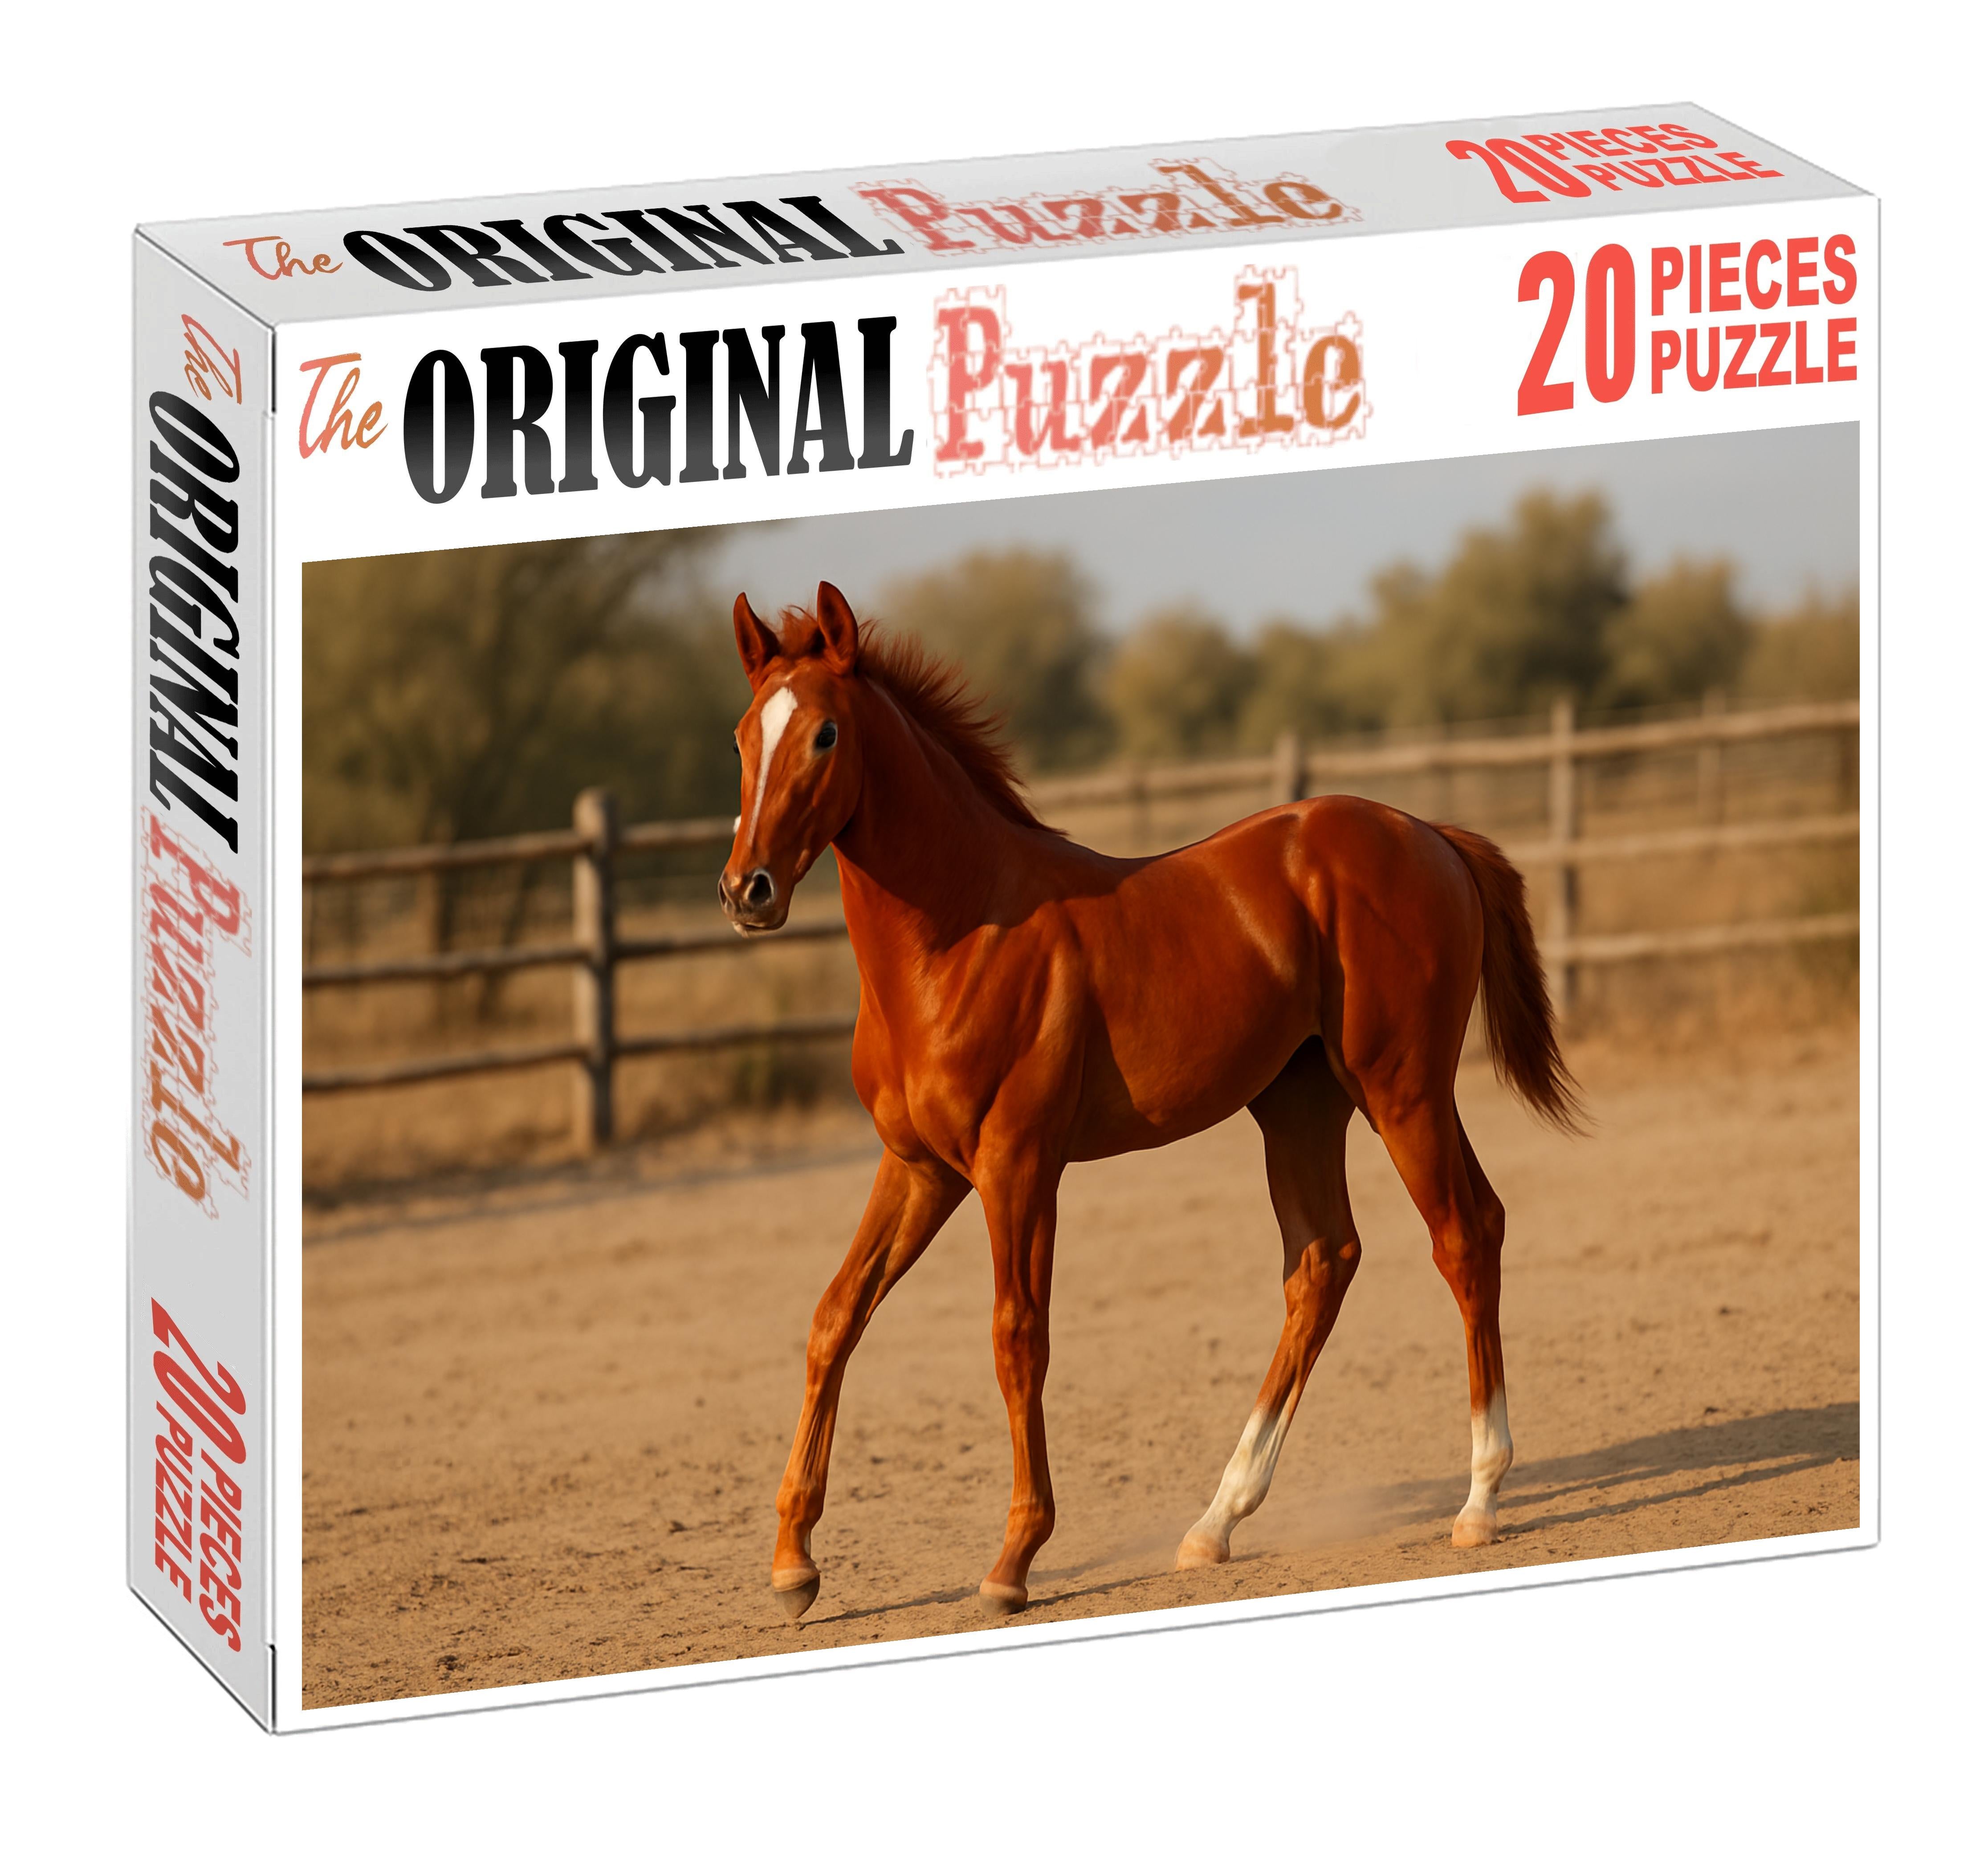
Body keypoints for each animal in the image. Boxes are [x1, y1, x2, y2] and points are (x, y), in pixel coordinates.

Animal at [719, 582, 1582, 1621]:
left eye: (826, 735)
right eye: (741, 737)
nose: (746, 889)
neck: (961, 934)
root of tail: (1431, 836)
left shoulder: (1017, 1166)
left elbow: (1017, 1337)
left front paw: (1013, 1560)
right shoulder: (919, 1168)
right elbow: (835, 1315)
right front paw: (792, 1564)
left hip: (1402, 1090)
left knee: (1461, 1235)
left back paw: (1479, 1499)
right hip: (1302, 1108)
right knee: (1326, 1262)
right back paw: (1216, 1521)